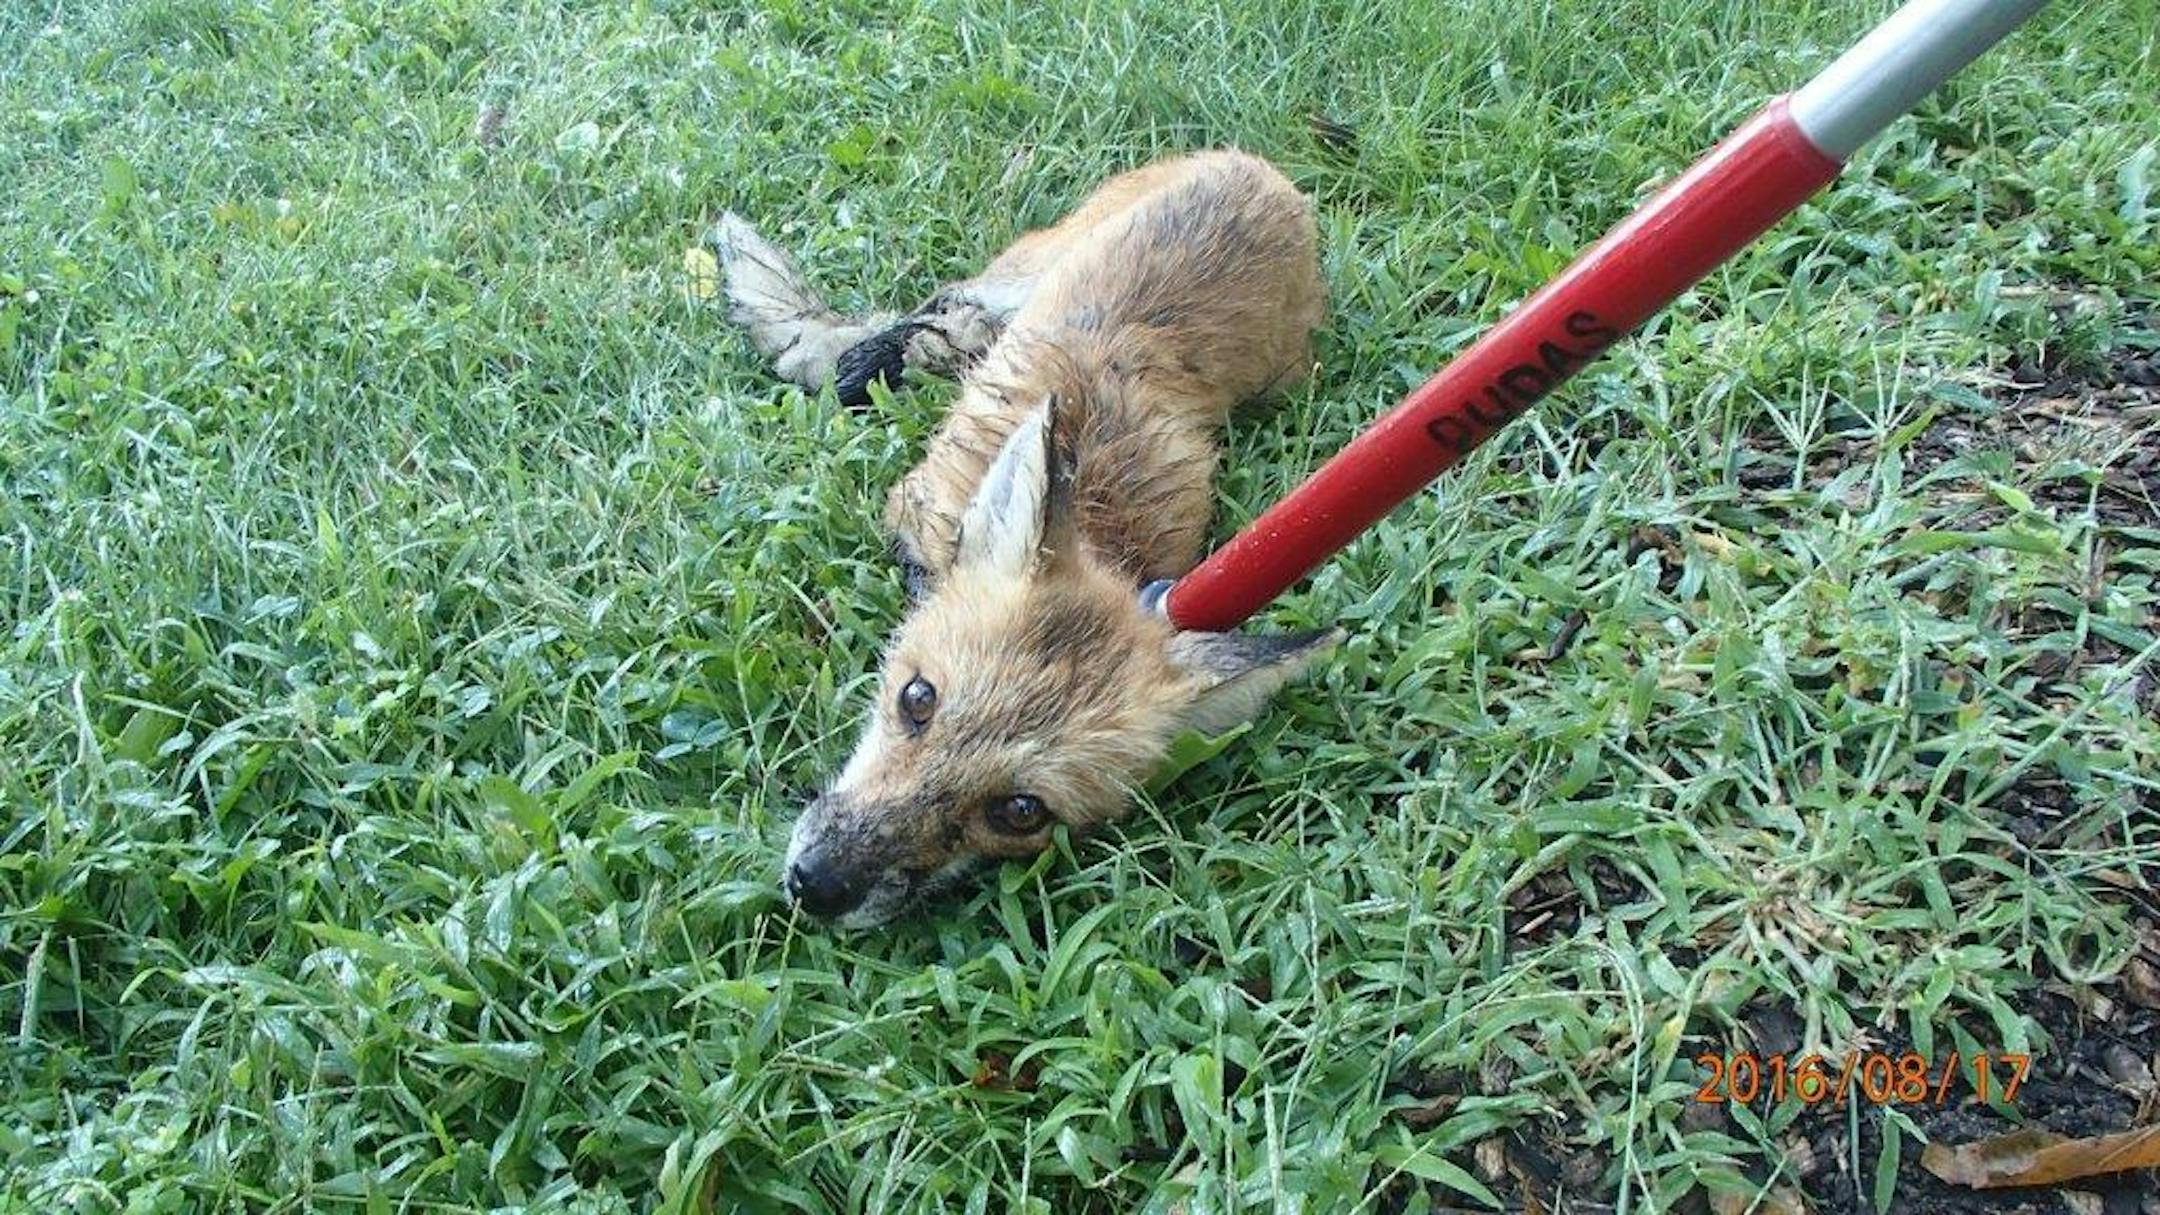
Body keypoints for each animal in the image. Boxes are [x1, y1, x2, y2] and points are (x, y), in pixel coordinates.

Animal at [711, 149, 1337, 928]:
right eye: (917, 698)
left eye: (1019, 811)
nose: (816, 884)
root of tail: (1256, 168)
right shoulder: (911, 507)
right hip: (1018, 275)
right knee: (935, 316)